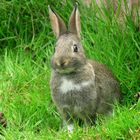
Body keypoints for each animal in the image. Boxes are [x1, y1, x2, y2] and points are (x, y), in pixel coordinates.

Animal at [48, 4, 120, 132]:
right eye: (55, 49)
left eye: (75, 48)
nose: (61, 62)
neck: (68, 75)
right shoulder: (65, 110)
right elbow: (70, 123)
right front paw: (70, 132)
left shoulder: (86, 108)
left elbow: (87, 120)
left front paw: (86, 131)